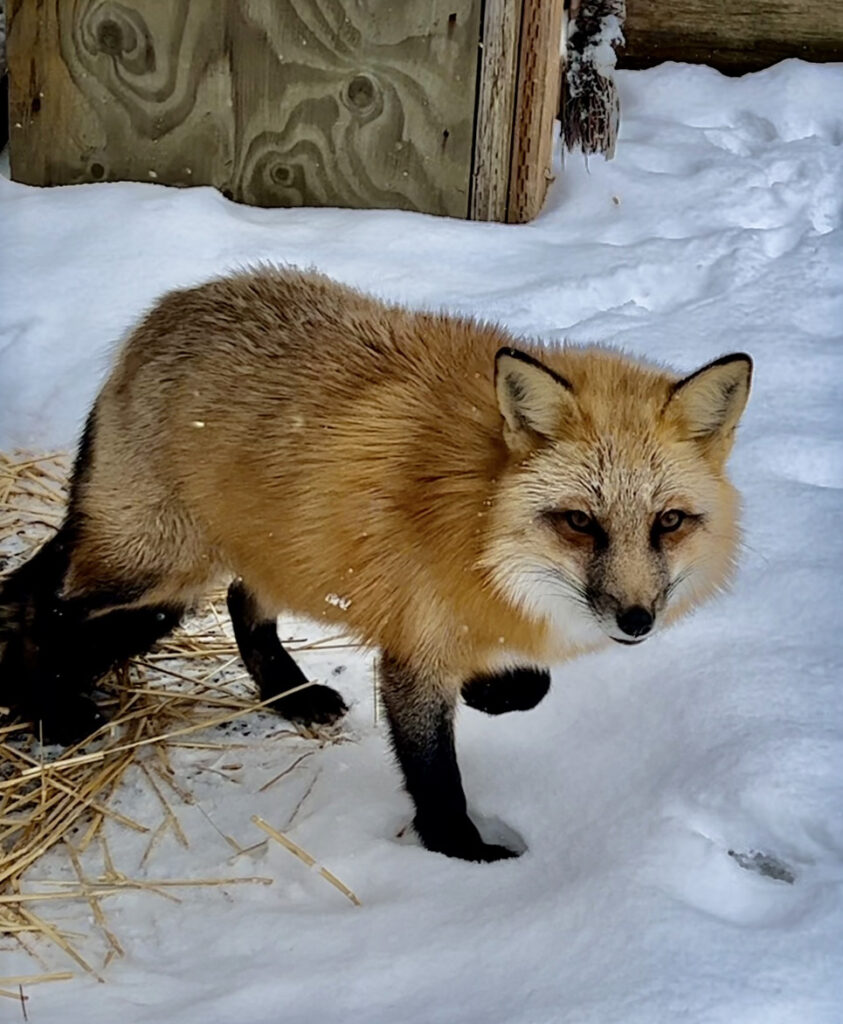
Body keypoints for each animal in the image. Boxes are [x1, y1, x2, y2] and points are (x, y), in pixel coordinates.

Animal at [0, 267, 752, 862]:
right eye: (579, 522)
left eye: (668, 523)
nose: (636, 620)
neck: (481, 521)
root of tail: (163, 310)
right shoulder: (413, 653)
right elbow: (435, 775)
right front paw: (463, 853)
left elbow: (528, 685)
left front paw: (489, 692)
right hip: (158, 573)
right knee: (44, 604)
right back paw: (51, 713)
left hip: (260, 556)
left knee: (242, 603)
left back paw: (290, 694)